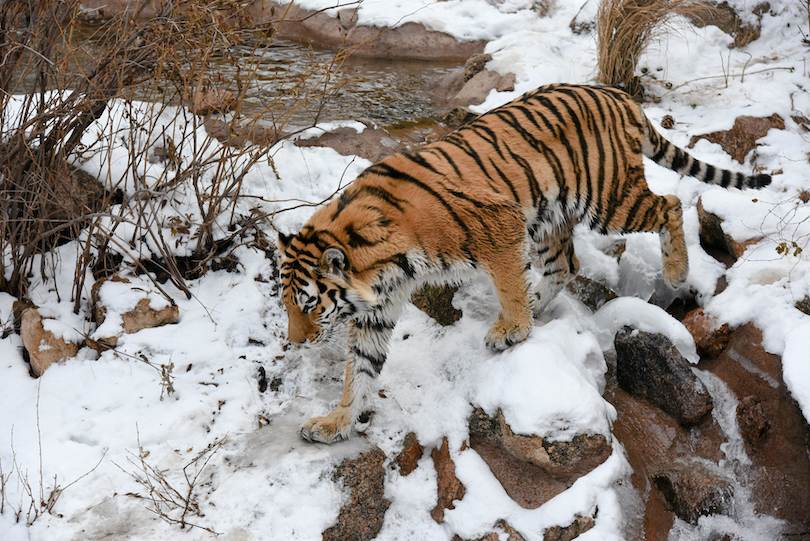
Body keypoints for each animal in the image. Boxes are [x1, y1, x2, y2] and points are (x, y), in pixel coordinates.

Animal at [278, 81, 772, 442]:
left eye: (309, 304)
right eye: (288, 305)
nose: (296, 342)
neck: (383, 264)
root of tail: (617, 94)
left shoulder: (500, 224)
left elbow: (507, 283)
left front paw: (511, 330)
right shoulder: (378, 306)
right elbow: (359, 371)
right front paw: (335, 423)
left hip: (608, 200)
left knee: (668, 203)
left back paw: (675, 271)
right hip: (552, 215)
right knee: (565, 265)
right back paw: (540, 303)